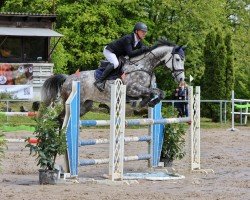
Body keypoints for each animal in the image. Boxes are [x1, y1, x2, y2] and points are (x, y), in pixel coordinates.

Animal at [41, 38, 186, 116]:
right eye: (178, 59)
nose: (181, 79)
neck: (143, 65)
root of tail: (67, 79)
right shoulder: (132, 89)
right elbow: (155, 92)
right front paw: (147, 103)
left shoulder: (140, 91)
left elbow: (156, 93)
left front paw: (145, 103)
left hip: (86, 105)